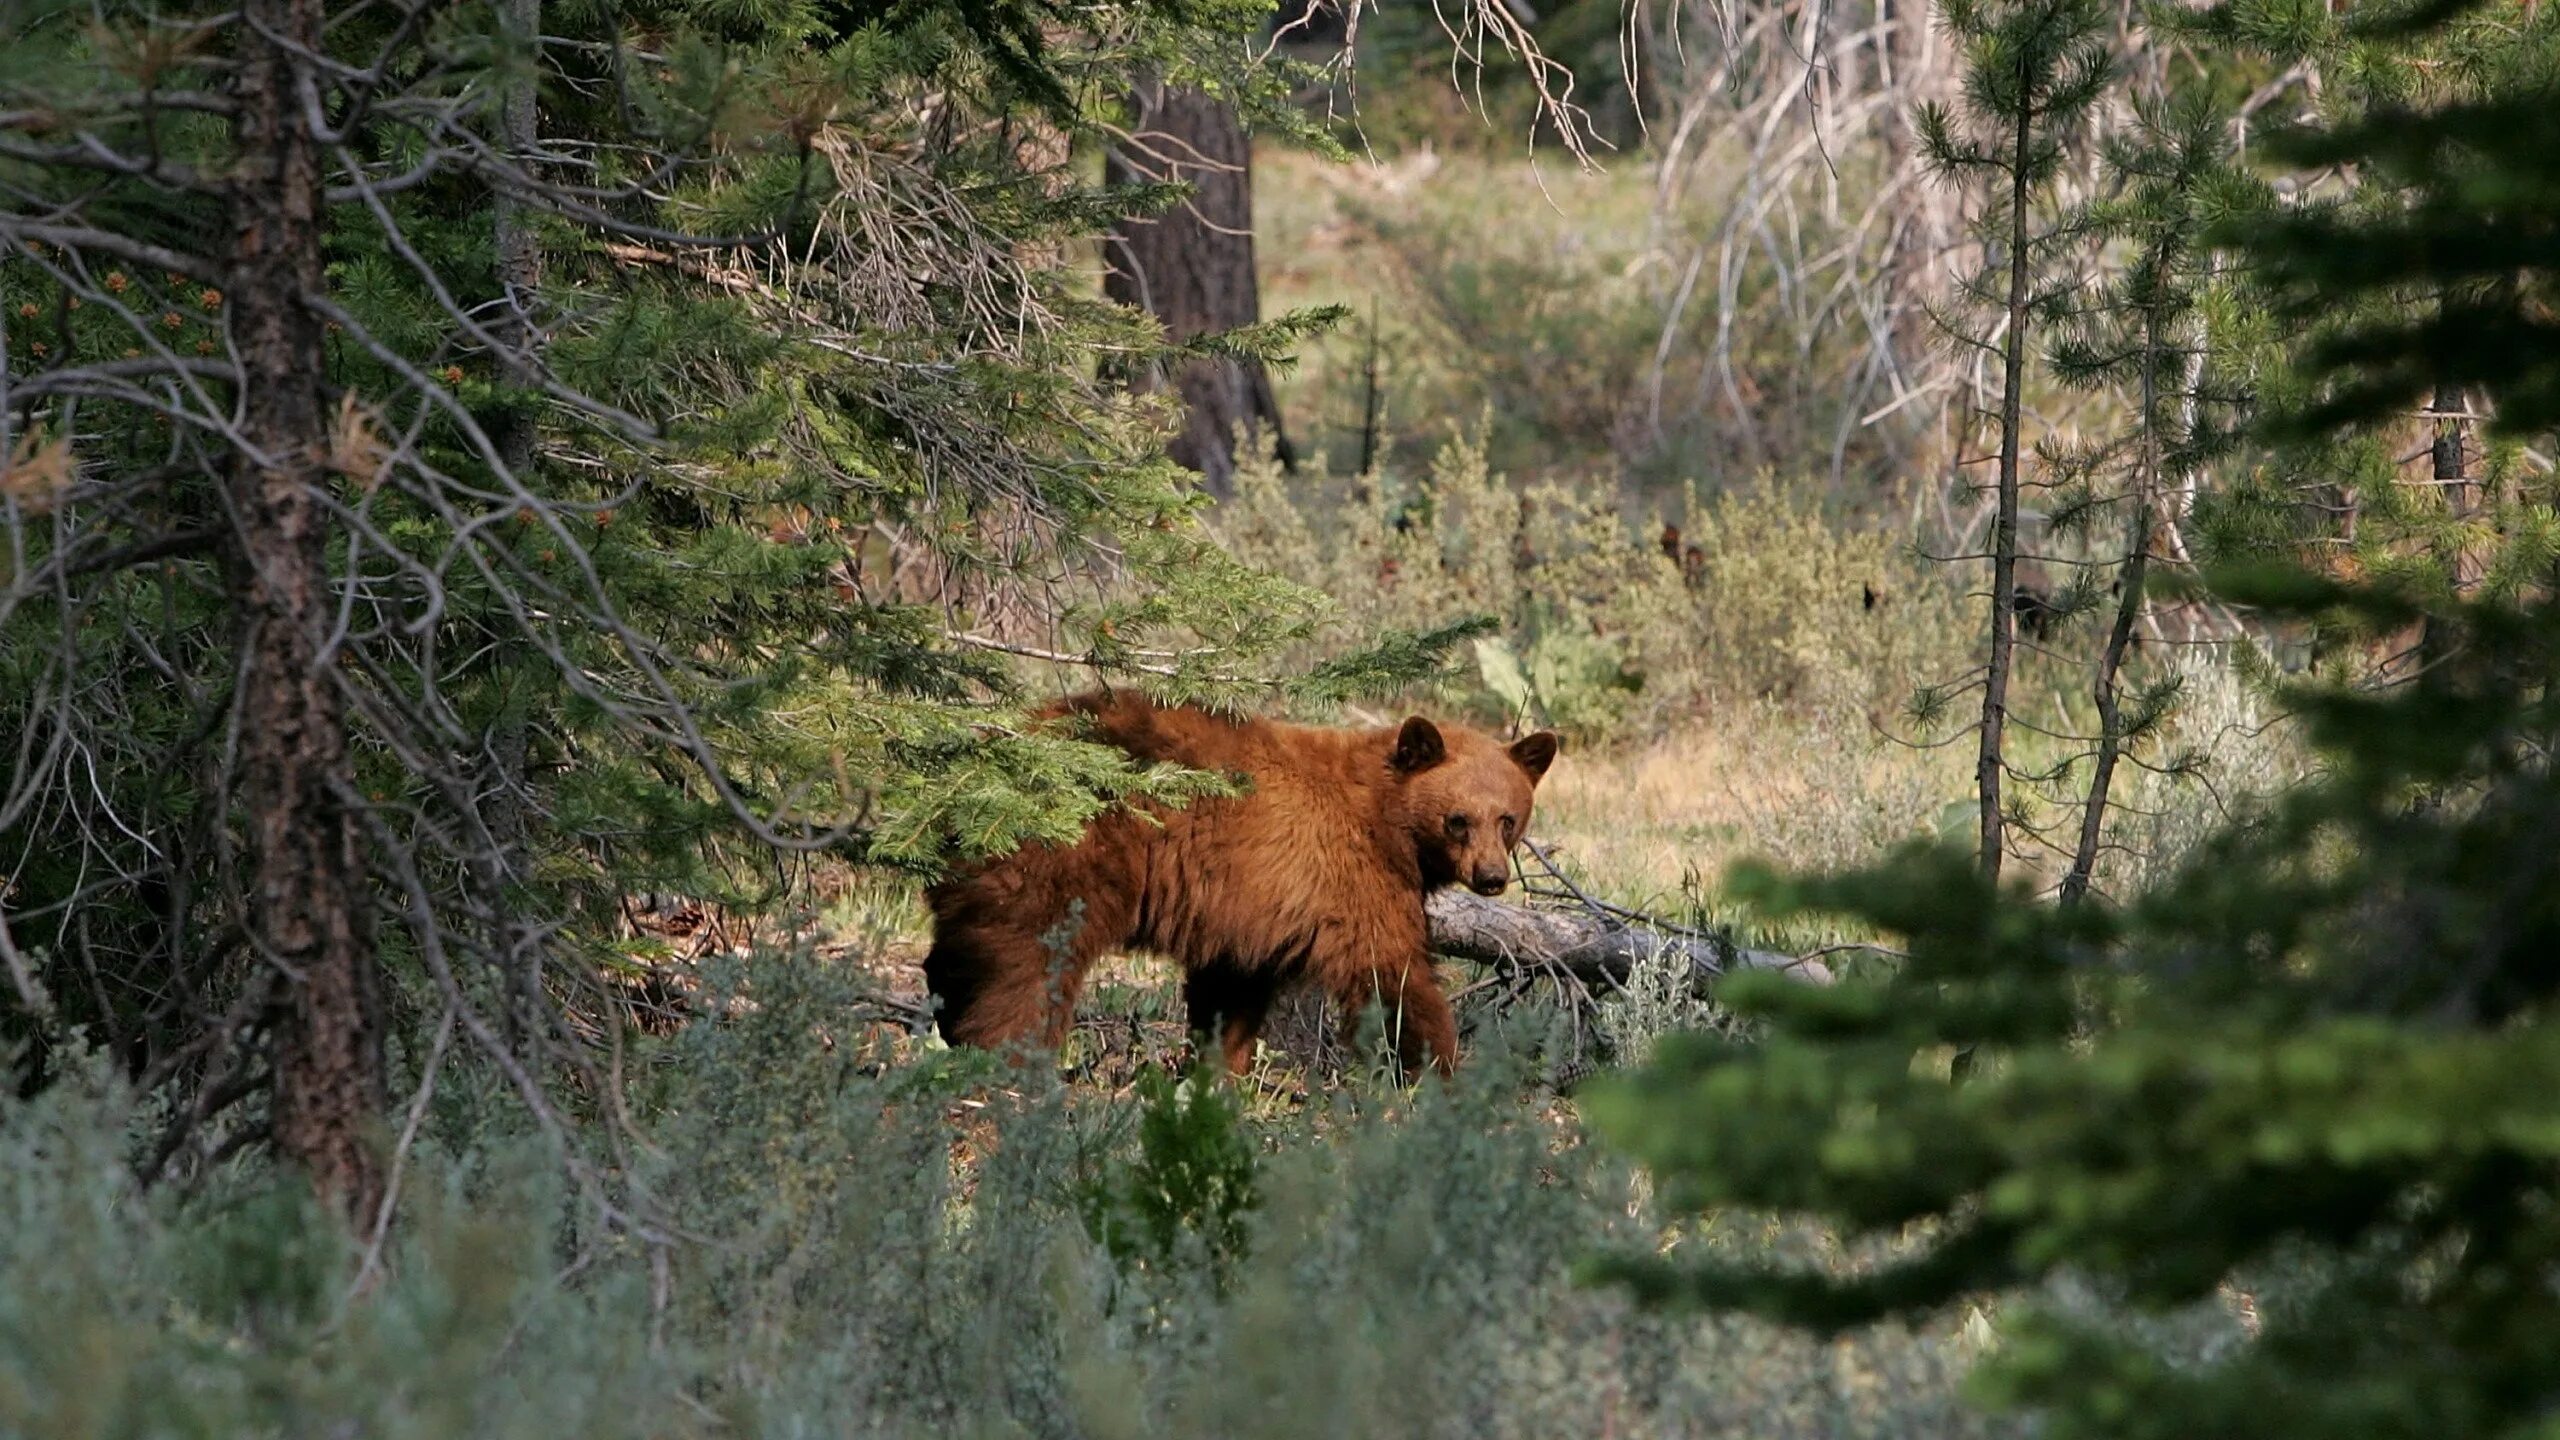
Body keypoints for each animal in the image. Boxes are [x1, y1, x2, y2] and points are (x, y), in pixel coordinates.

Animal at [926, 691, 1556, 1071]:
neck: (1385, 817)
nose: (1492, 878)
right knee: (1029, 966)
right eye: (1458, 819)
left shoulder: (1252, 907)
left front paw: (1215, 1071)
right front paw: (1438, 1070)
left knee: (964, 948)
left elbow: (1231, 991)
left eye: (1508, 819)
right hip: (1064, 855)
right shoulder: (1351, 877)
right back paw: (1010, 1059)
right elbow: (1391, 974)